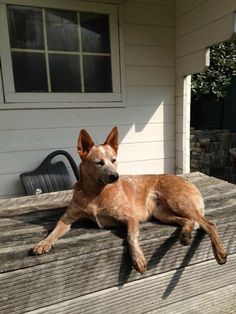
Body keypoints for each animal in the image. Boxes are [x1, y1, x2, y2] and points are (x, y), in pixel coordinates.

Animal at [33, 127, 227, 272]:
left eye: (114, 160)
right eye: (99, 162)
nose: (115, 176)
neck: (95, 194)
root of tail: (188, 181)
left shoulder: (131, 217)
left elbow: (130, 237)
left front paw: (138, 258)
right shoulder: (67, 218)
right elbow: (54, 231)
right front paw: (43, 243)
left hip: (178, 203)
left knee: (210, 224)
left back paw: (220, 252)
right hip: (161, 213)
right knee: (189, 221)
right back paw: (185, 235)